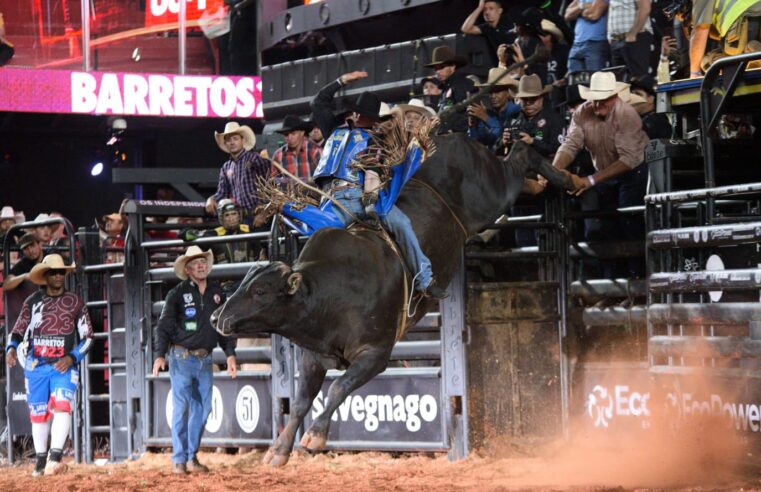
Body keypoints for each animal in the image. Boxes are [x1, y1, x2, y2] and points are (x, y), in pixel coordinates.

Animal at [211, 135, 568, 466]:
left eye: (260, 291)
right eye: (244, 283)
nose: (217, 317)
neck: (326, 292)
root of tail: (451, 138)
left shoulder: (376, 353)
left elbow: (339, 388)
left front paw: (315, 436)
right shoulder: (314, 356)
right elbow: (300, 402)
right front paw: (278, 451)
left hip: (492, 192)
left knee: (520, 156)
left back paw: (566, 177)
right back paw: (543, 184)